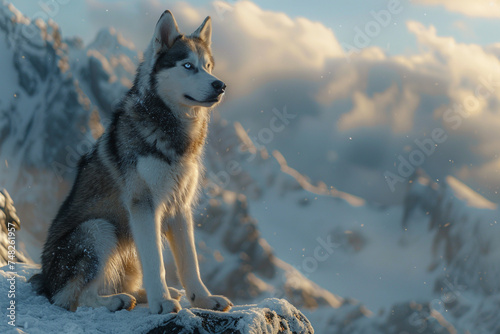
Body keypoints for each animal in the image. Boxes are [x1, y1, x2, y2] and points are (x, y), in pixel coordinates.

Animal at [30, 9, 232, 314]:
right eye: (188, 66)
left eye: (208, 66)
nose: (220, 85)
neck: (174, 133)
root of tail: (45, 280)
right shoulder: (144, 205)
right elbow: (156, 263)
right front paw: (162, 303)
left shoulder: (180, 207)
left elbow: (190, 263)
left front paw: (204, 300)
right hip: (99, 229)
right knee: (73, 298)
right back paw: (119, 300)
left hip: (126, 250)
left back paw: (145, 294)